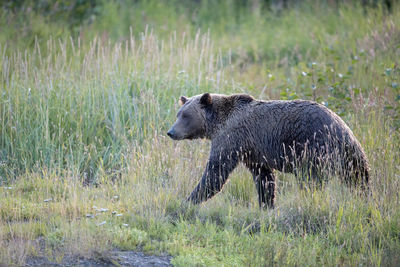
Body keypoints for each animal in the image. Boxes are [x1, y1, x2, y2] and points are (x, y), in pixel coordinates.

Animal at [166, 93, 368, 208]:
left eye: (186, 115)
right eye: (178, 114)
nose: (171, 132)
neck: (216, 124)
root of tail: (340, 127)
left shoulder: (232, 138)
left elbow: (216, 172)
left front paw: (188, 201)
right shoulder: (253, 152)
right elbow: (264, 179)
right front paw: (266, 205)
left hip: (314, 146)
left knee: (310, 179)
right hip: (352, 154)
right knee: (360, 178)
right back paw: (365, 199)